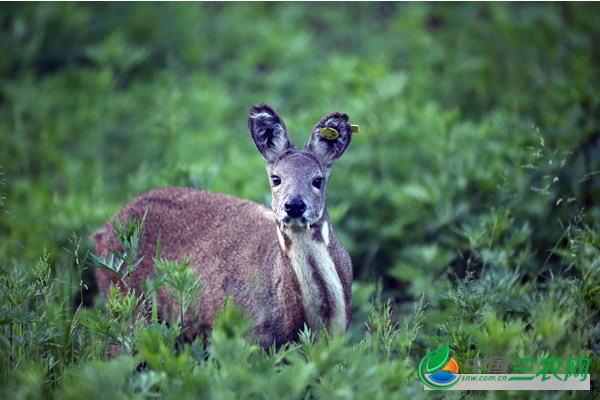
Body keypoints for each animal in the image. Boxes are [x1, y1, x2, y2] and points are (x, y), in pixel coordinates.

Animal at [92, 104, 356, 350]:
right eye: (276, 179)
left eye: (317, 180)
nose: (294, 205)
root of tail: (102, 230)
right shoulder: (253, 338)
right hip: (127, 307)